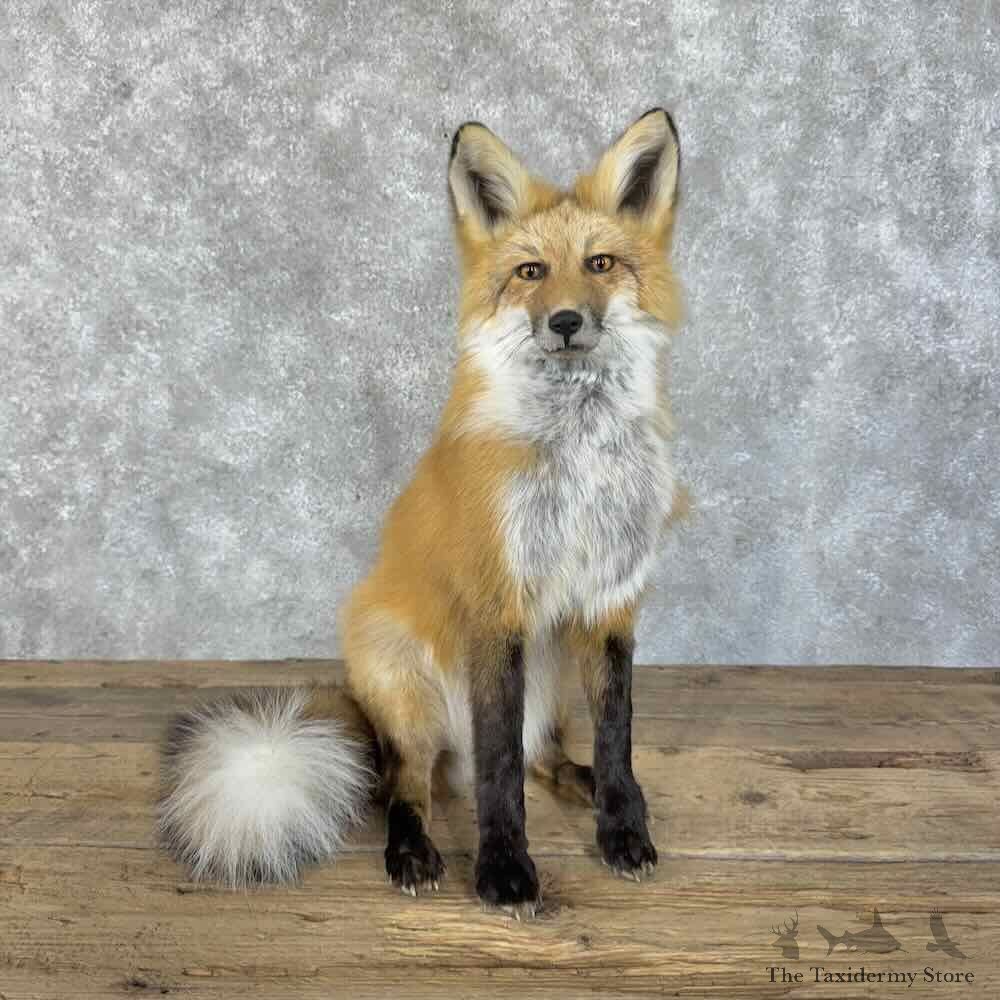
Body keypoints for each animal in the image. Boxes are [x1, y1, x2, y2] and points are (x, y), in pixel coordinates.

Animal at [158, 107, 686, 917]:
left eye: (600, 264)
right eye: (531, 272)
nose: (565, 321)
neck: (577, 457)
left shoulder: (610, 601)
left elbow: (615, 739)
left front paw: (622, 828)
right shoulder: (495, 606)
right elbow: (498, 770)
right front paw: (504, 871)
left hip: (552, 674)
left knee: (544, 757)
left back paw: (585, 786)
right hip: (403, 681)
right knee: (410, 785)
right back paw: (411, 851)